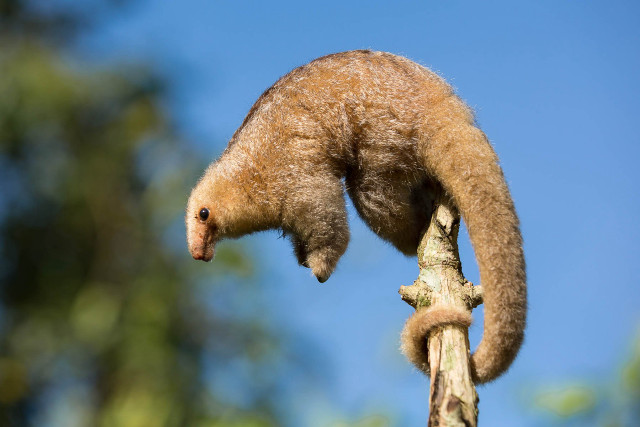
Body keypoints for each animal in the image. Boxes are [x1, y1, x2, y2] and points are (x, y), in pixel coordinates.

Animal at [185, 50, 526, 383]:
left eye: (203, 214)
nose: (197, 253)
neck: (246, 177)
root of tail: (443, 105)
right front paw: (302, 256)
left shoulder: (294, 179)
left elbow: (326, 216)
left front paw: (320, 267)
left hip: (384, 133)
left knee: (374, 192)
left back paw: (415, 229)